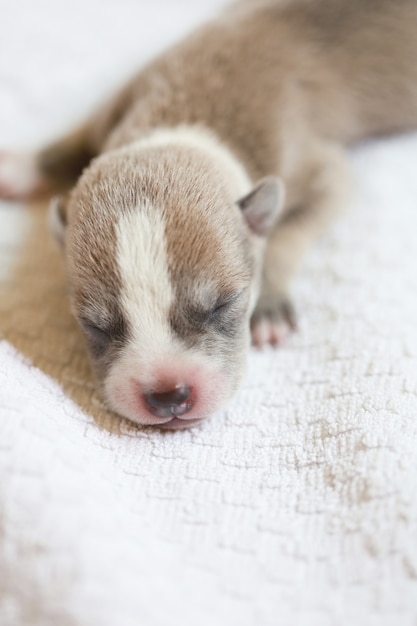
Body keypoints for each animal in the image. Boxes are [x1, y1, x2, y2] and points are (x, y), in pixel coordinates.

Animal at [0, 0, 416, 428]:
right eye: (93, 325)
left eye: (224, 304)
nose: (168, 395)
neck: (183, 121)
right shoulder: (118, 104)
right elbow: (69, 144)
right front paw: (19, 167)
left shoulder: (320, 171)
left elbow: (289, 232)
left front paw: (269, 308)